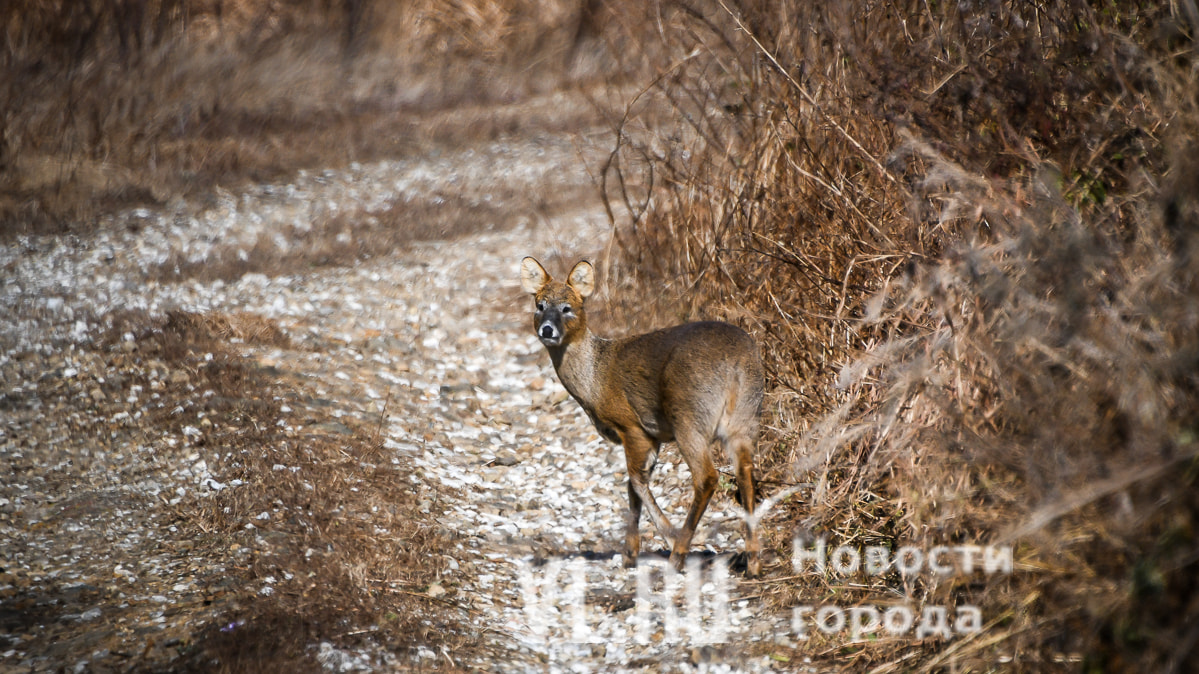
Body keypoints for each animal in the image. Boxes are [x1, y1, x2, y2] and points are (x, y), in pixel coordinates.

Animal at [520, 255, 762, 570]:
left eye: (567, 308)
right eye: (540, 305)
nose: (547, 329)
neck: (596, 378)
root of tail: (736, 362)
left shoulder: (632, 426)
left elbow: (635, 481)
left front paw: (662, 538)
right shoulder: (653, 435)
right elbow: (632, 488)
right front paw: (629, 553)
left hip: (689, 415)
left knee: (706, 477)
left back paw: (679, 552)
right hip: (746, 414)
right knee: (745, 470)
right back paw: (753, 560)